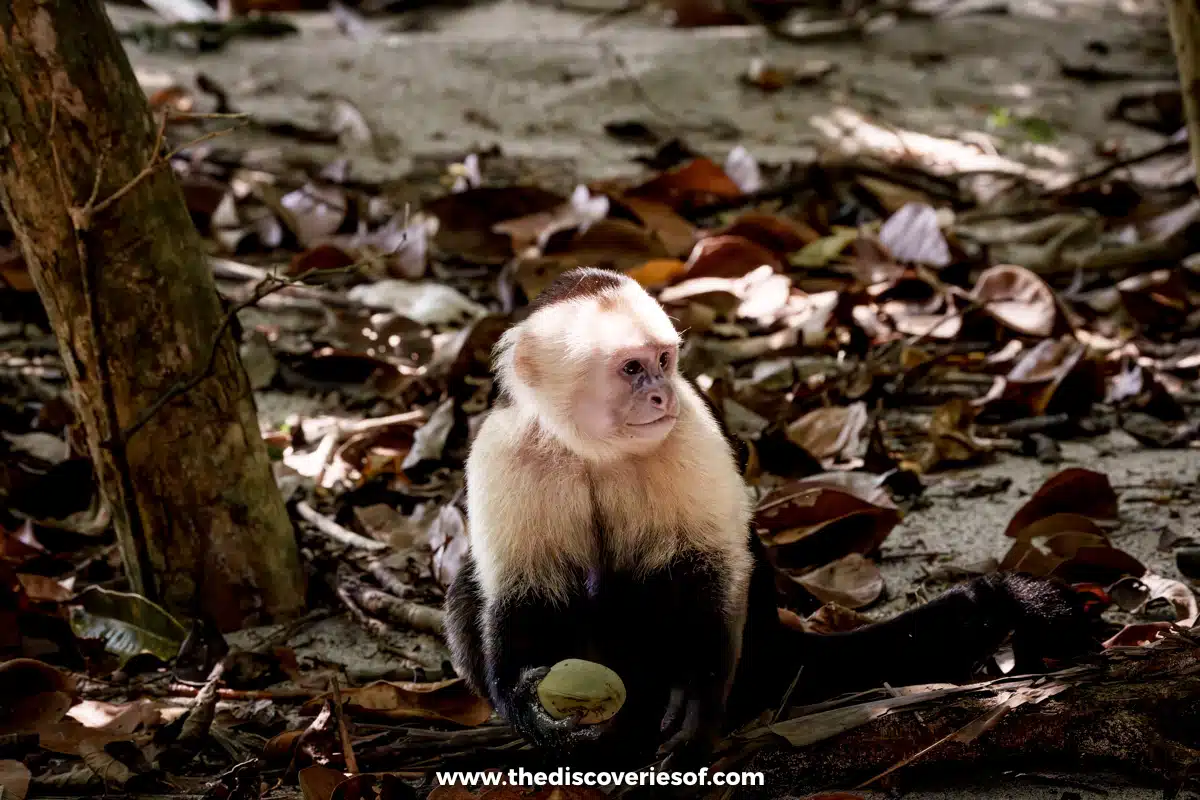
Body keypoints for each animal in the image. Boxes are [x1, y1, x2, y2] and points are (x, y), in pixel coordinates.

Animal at [444, 267, 1098, 769]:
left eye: (664, 361)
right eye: (632, 369)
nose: (660, 395)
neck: (594, 450)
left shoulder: (690, 427)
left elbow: (707, 569)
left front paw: (696, 701)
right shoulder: (505, 449)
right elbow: (521, 592)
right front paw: (529, 702)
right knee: (467, 591)